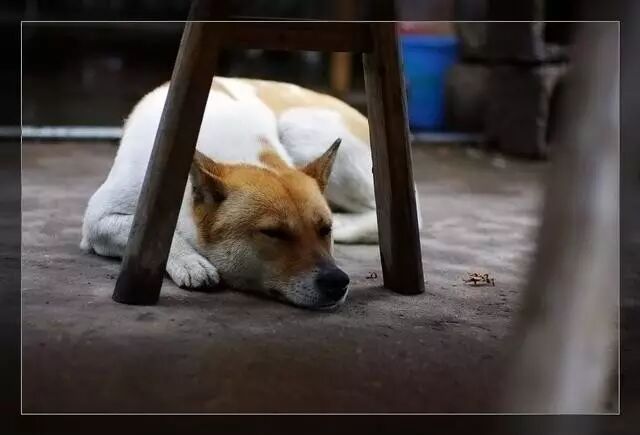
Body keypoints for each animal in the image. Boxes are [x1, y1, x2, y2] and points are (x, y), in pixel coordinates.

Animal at [81, 77, 419, 309]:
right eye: (274, 233)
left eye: (325, 230)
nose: (338, 282)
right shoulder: (98, 221)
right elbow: (159, 237)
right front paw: (190, 262)